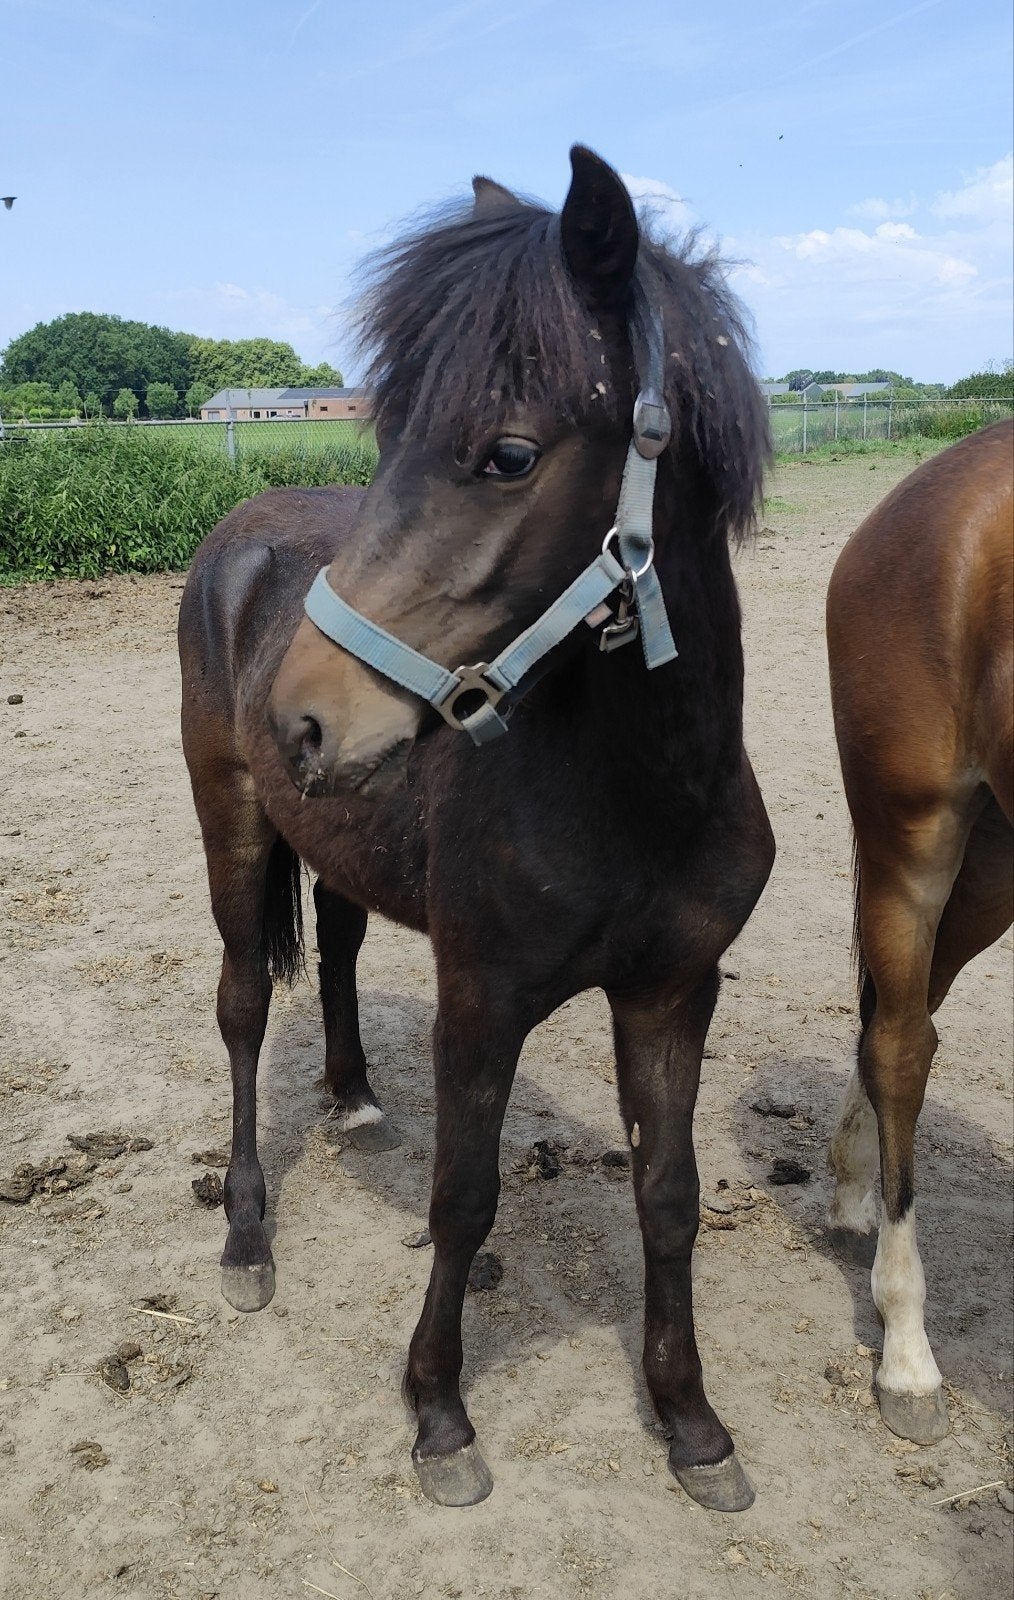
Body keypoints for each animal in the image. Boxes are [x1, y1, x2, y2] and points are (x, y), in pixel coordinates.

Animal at [179, 146, 774, 1512]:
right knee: (242, 1009)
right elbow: (465, 1195)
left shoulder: (674, 990)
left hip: (338, 835)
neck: (643, 793)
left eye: (507, 453)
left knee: (339, 952)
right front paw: (439, 1412)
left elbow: (669, 1195)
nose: (300, 716)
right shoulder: (484, 994)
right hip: (231, 824)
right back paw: (245, 1233)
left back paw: (353, 1097)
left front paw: (692, 1422)